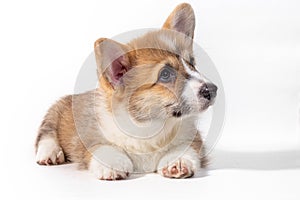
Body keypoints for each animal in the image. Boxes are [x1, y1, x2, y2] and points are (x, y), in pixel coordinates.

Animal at [35, 3, 218, 180]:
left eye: (191, 63)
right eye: (165, 74)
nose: (213, 89)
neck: (151, 127)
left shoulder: (193, 137)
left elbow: (186, 147)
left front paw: (178, 161)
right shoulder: (90, 139)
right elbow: (102, 147)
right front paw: (112, 164)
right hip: (55, 112)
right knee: (46, 134)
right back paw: (49, 153)